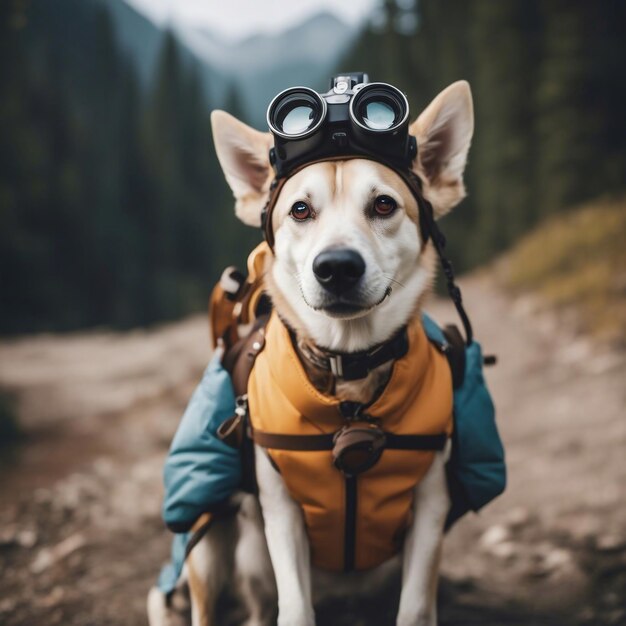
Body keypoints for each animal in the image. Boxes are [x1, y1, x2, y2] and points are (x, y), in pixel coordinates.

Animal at [147, 79, 472, 624]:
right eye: (300, 210)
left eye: (384, 205)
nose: (337, 266)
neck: (349, 372)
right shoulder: (281, 509)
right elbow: (295, 607)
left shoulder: (430, 504)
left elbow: (414, 608)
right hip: (212, 538)